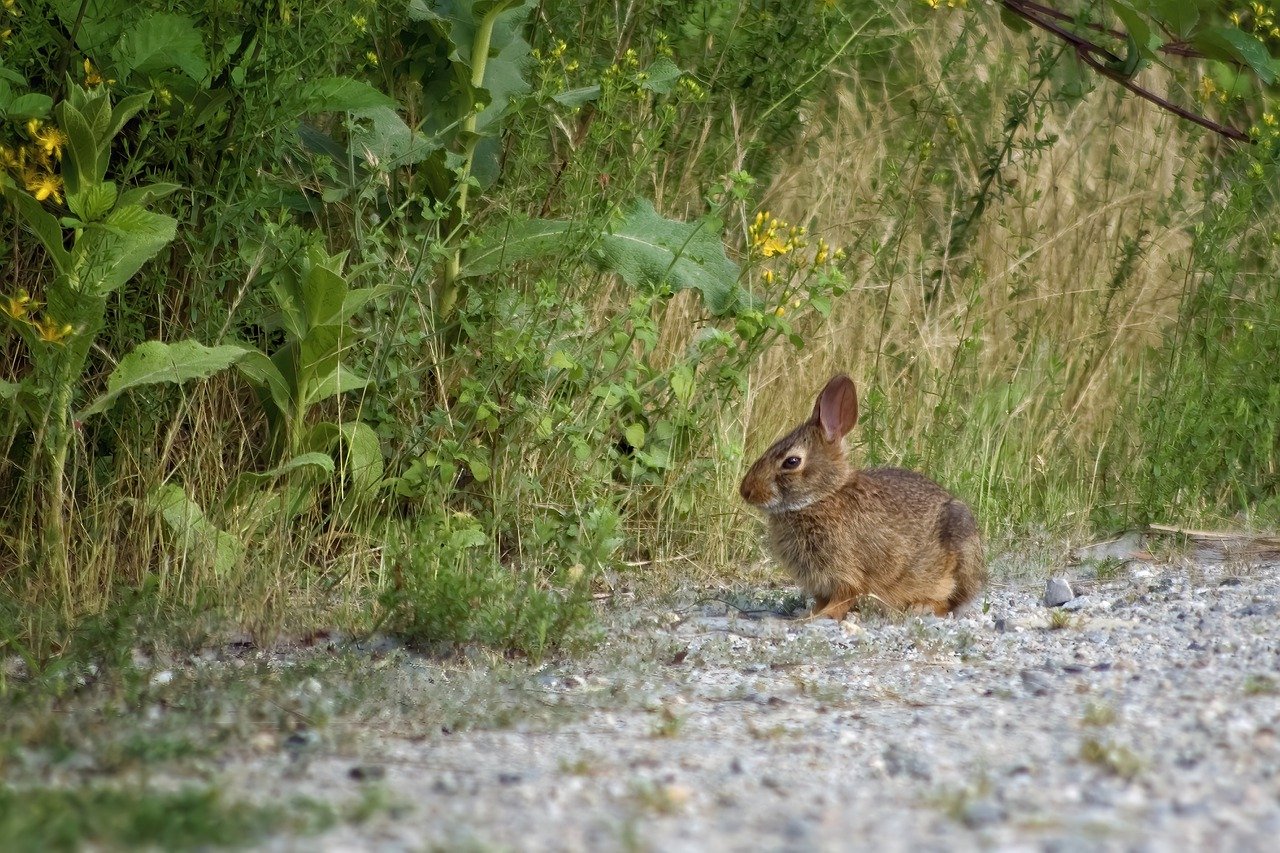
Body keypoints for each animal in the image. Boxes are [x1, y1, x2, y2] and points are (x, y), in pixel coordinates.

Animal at [737, 373, 983, 617]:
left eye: (792, 461)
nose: (746, 491)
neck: (823, 497)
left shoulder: (847, 574)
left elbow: (843, 598)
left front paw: (818, 617)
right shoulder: (820, 583)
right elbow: (821, 600)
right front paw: (809, 614)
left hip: (960, 552)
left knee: (951, 602)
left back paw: (922, 607)